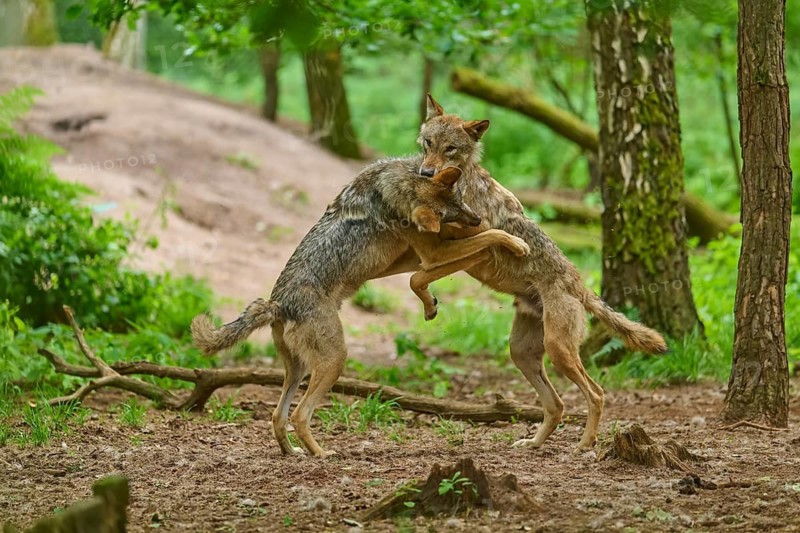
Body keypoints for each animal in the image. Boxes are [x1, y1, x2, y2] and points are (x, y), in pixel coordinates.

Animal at [191, 164, 529, 456]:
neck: (398, 190)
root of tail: (278, 304)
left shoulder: (412, 257)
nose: (475, 217)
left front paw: (431, 302)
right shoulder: (432, 252)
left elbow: (427, 274)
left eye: (459, 202)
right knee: (300, 414)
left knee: (277, 416)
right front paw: (515, 243)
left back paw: (294, 453)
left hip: (298, 369)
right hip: (335, 361)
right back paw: (321, 454)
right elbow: (485, 239)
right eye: (447, 213)